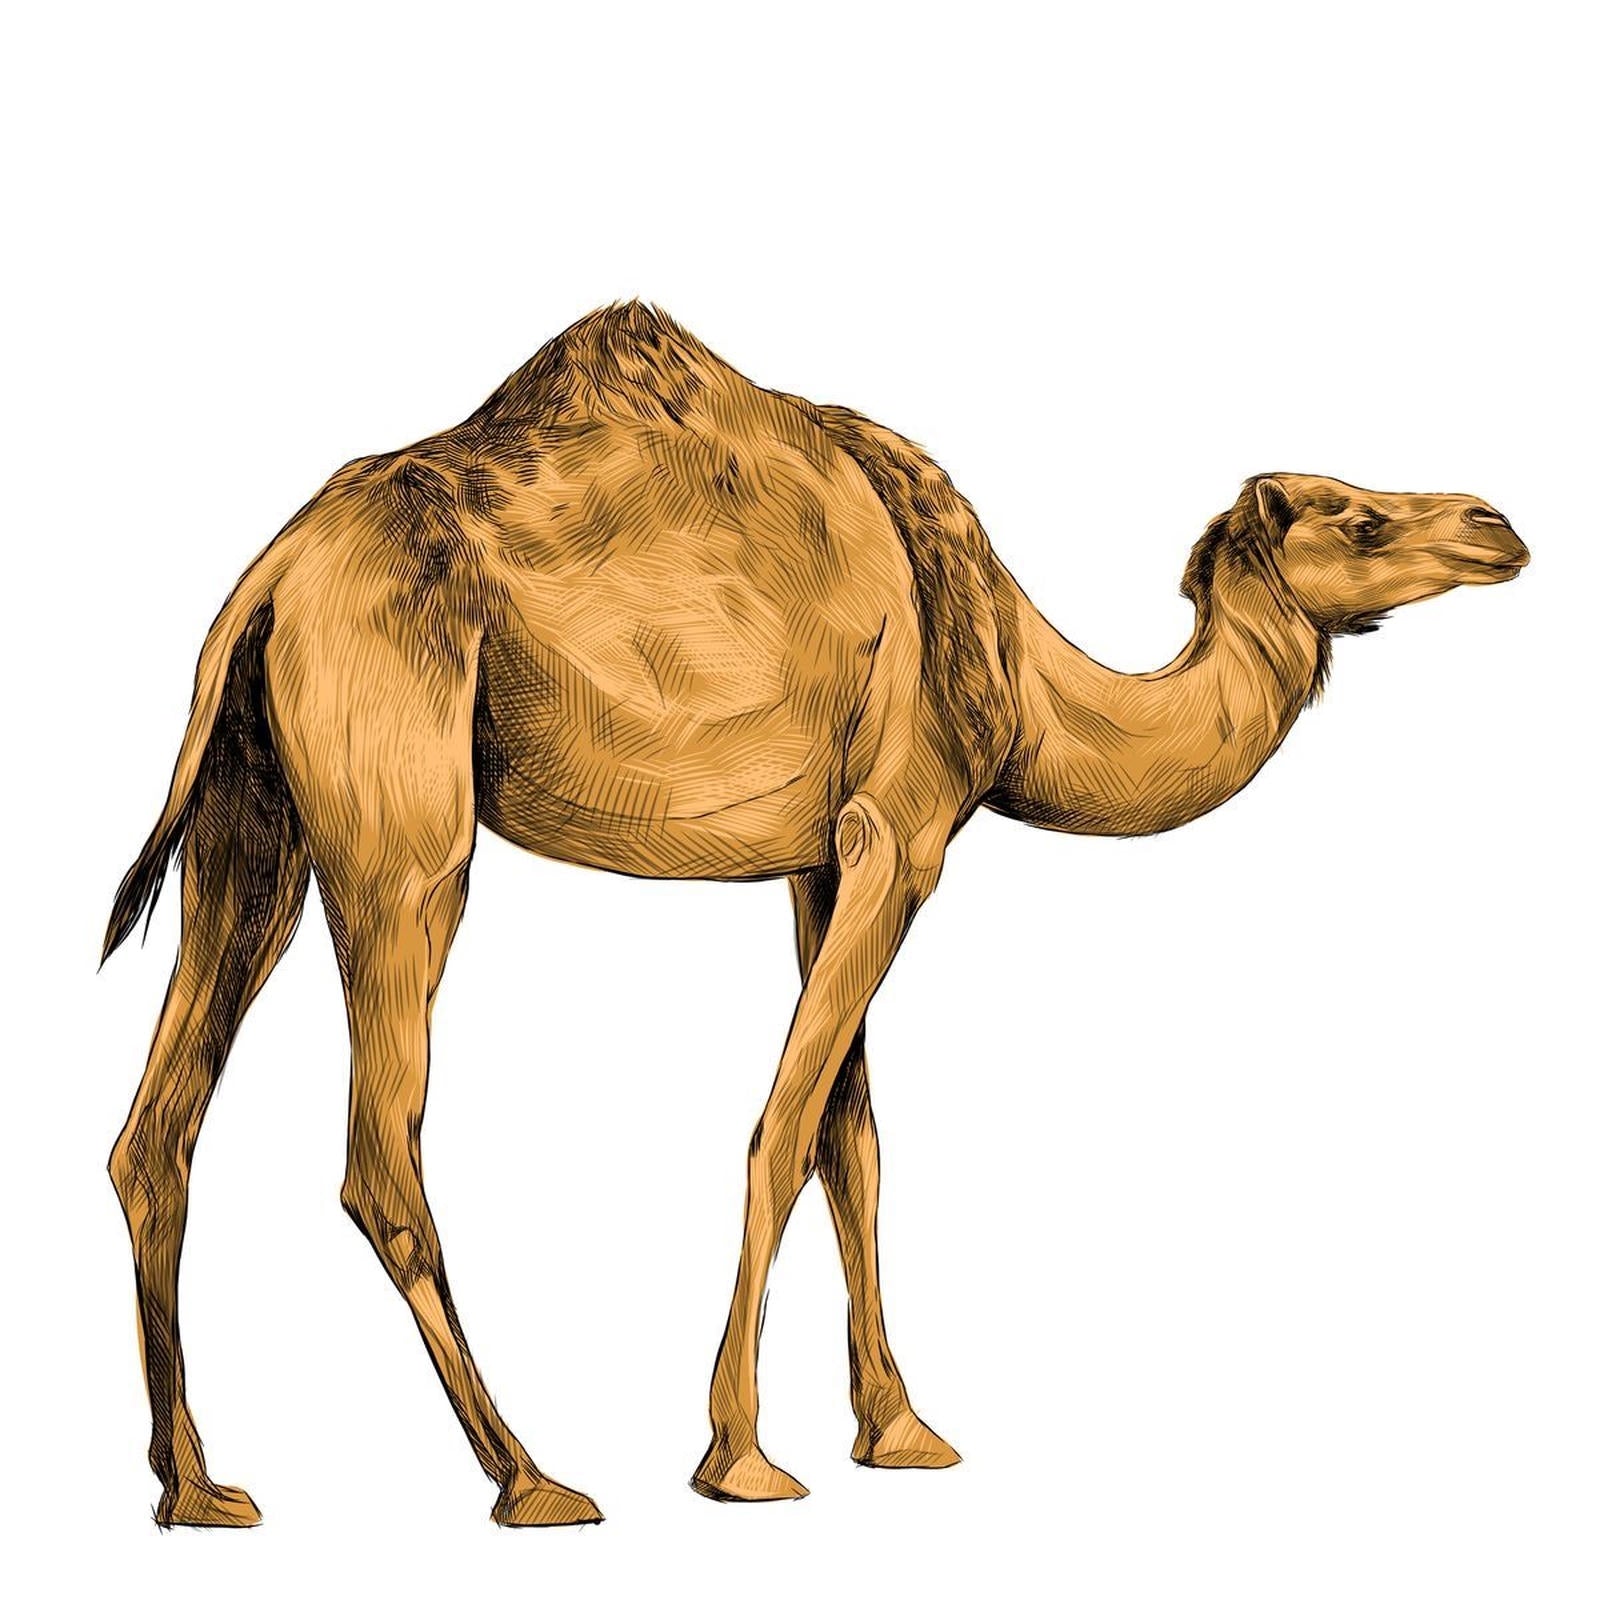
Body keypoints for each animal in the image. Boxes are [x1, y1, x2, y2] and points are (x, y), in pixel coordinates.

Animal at [104, 301, 1529, 1528]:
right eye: (1357, 517)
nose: (1495, 524)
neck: (1019, 674)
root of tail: (276, 573)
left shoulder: (820, 861)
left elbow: (856, 1134)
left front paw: (897, 1428)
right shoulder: (900, 831)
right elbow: (785, 1129)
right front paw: (738, 1454)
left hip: (252, 812)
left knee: (156, 1131)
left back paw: (198, 1489)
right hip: (401, 804)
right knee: (377, 1148)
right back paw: (533, 1477)